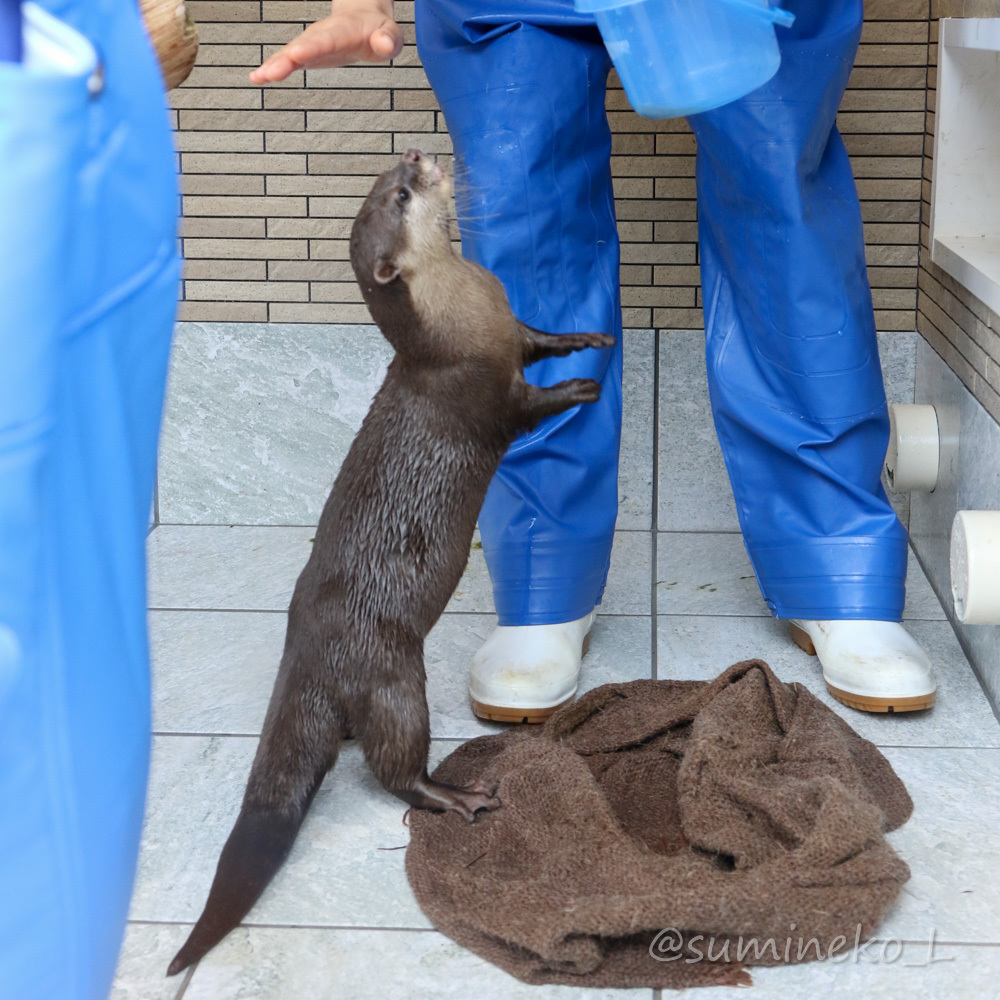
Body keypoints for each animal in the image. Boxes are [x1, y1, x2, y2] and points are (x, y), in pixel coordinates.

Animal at [168, 148, 612, 976]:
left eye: (386, 179)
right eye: (402, 195)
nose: (414, 153)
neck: (462, 320)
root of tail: (306, 655)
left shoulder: (510, 327)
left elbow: (541, 334)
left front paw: (589, 340)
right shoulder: (487, 395)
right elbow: (527, 406)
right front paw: (579, 387)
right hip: (395, 680)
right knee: (395, 771)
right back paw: (456, 795)